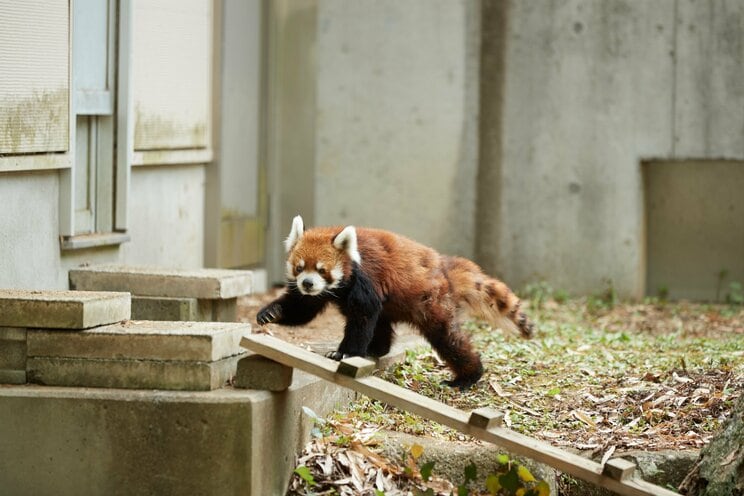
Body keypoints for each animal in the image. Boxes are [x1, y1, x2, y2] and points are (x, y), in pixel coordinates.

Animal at [258, 215, 532, 390]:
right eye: (299, 268)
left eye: (322, 270)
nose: (307, 283)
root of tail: (444, 267)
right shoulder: (321, 293)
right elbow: (302, 309)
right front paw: (271, 312)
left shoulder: (365, 279)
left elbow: (362, 316)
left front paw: (344, 352)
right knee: (381, 321)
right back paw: (376, 349)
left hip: (432, 302)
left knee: (447, 339)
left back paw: (467, 377)